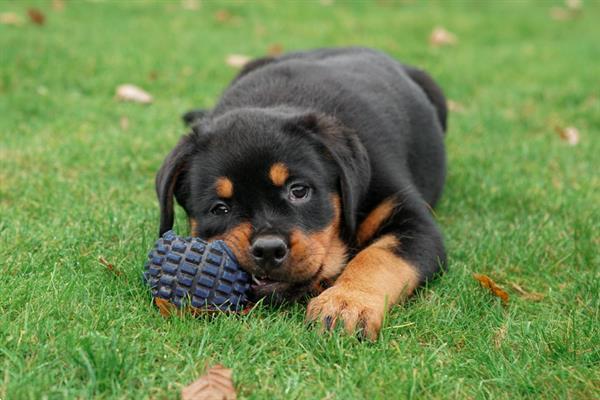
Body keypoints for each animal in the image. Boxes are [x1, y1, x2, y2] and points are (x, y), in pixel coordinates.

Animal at [155, 47, 446, 340]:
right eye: (220, 208)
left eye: (299, 191)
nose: (268, 250)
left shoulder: (414, 222)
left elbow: (377, 258)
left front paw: (346, 304)